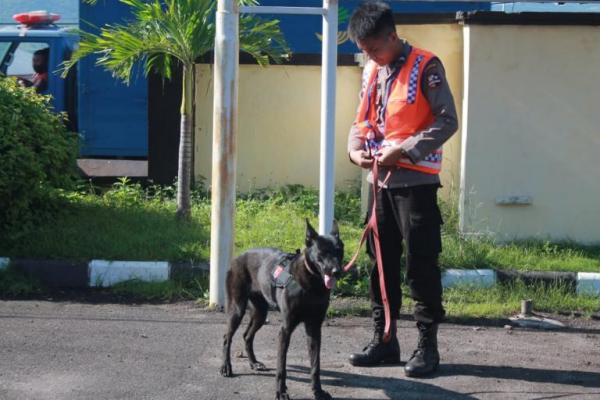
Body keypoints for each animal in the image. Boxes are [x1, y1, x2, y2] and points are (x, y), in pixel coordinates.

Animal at [220, 220, 344, 398]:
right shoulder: (285, 330)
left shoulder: (314, 328)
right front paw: (280, 392)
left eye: (339, 251)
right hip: (237, 309)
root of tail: (238, 257)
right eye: (322, 252)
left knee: (247, 335)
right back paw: (226, 367)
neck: (311, 283)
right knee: (227, 337)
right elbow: (281, 366)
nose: (337, 271)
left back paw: (254, 363)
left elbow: (315, 365)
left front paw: (317, 391)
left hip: (260, 314)